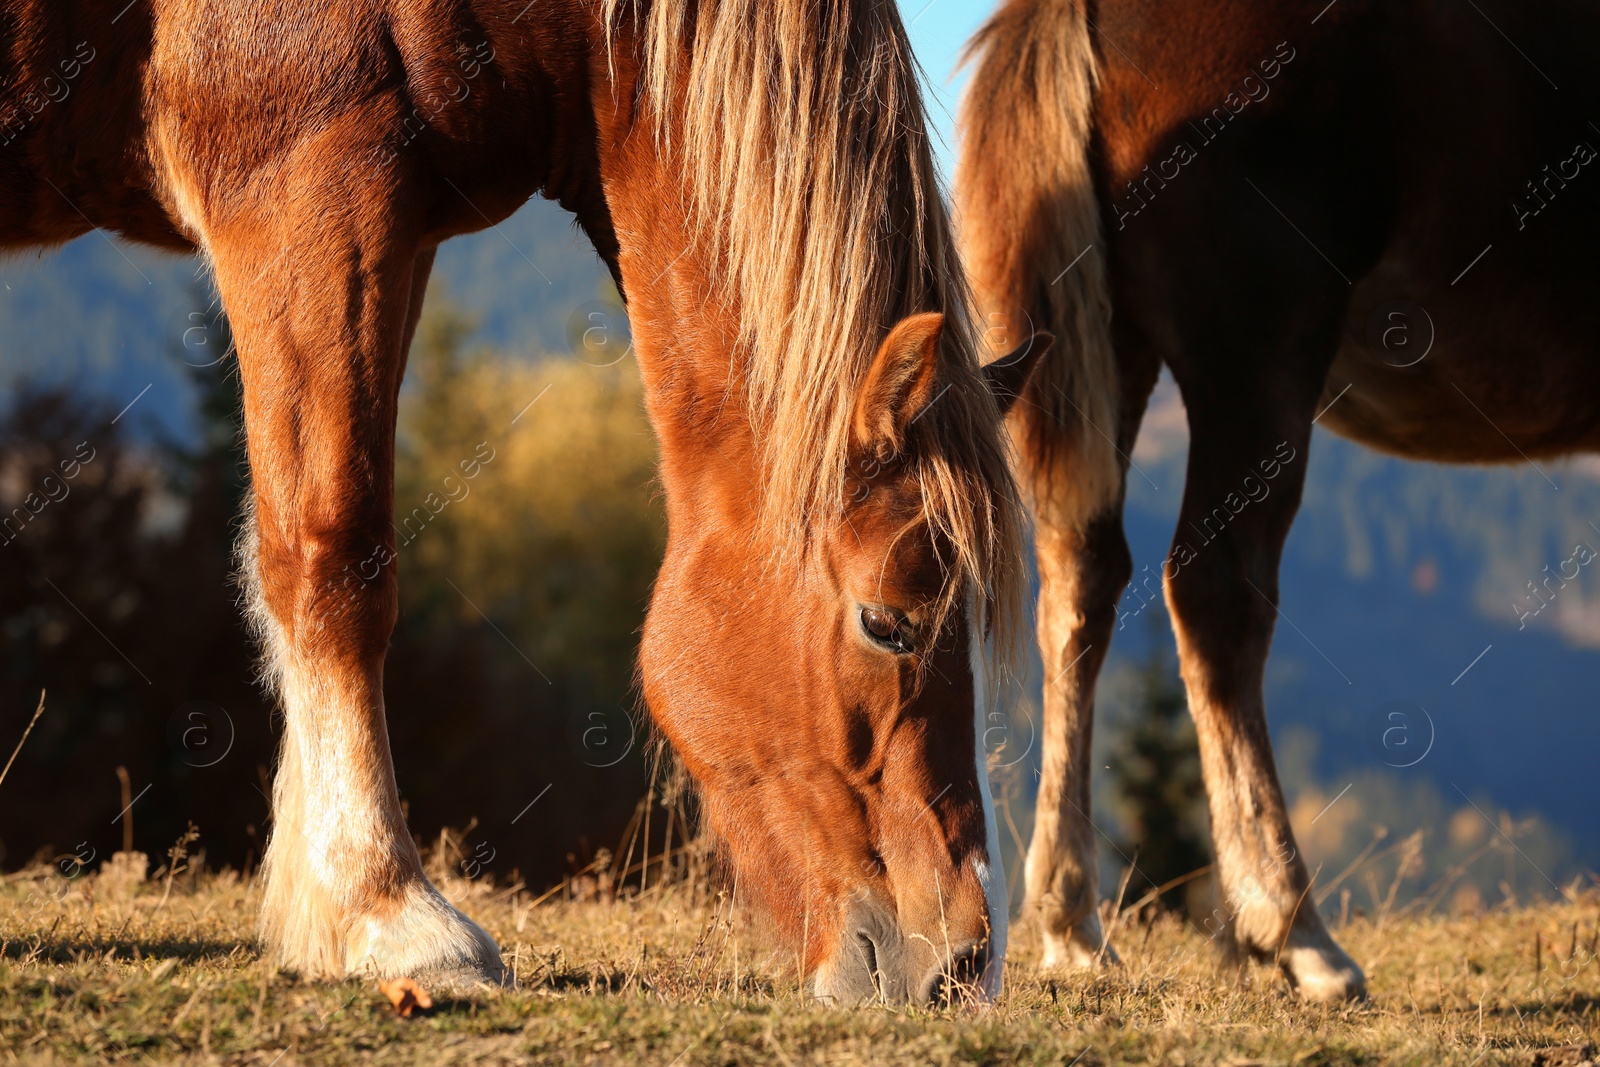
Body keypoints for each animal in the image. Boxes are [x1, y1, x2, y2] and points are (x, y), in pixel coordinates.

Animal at [0, 0, 1043, 1004]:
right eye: (886, 623)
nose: (962, 966)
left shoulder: (397, 233)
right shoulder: (305, 187)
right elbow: (334, 557)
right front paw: (391, 913)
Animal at [953, 0, 1600, 1004]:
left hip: (1102, 351)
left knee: (1080, 582)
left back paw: (1071, 920)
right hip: (1255, 359)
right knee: (1215, 594)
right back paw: (1294, 926)